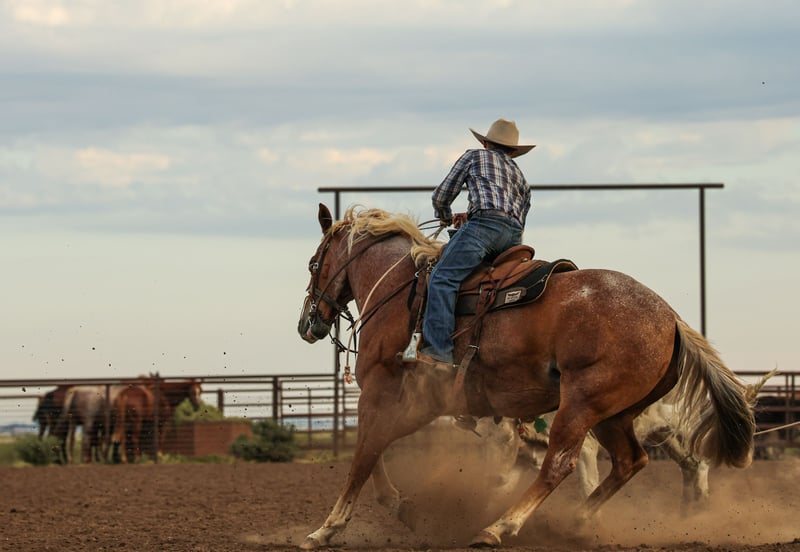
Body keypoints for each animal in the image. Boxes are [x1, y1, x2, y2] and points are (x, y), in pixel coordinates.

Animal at [296, 204, 755, 549]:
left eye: (314, 263)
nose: (307, 323)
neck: (401, 290)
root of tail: (671, 318)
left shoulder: (385, 391)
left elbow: (365, 452)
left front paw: (326, 528)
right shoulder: (424, 402)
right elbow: (375, 449)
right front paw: (401, 508)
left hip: (582, 403)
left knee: (560, 464)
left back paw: (498, 527)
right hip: (613, 414)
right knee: (630, 461)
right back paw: (575, 522)